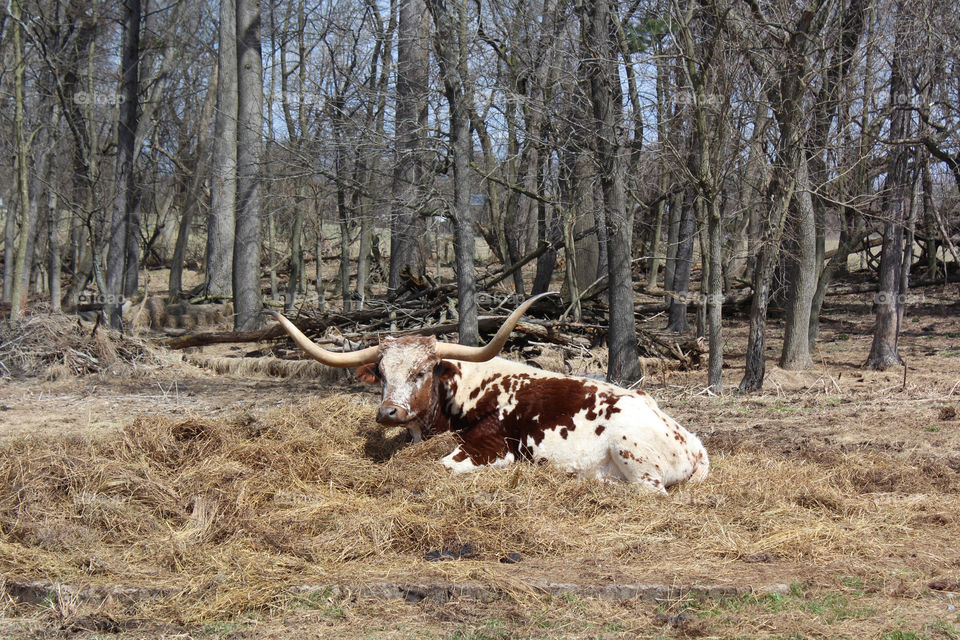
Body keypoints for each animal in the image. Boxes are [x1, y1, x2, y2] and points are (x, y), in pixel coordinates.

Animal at [266, 296, 708, 496]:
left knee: (648, 492)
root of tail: (693, 443)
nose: (388, 413)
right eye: (381, 374)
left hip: (629, 453)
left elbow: (442, 466)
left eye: (421, 371)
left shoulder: (491, 449)